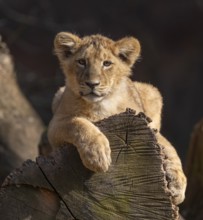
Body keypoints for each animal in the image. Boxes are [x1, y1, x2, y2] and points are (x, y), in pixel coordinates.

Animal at [47, 32, 186, 205]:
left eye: (107, 63)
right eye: (81, 62)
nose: (92, 84)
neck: (101, 105)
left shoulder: (149, 127)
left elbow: (171, 149)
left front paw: (177, 186)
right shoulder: (55, 125)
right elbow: (78, 123)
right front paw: (97, 156)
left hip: (152, 91)